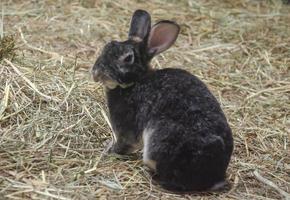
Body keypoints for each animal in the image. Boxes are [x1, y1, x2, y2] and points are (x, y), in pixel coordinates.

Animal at [92, 9, 234, 192]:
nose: (96, 73)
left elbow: (125, 143)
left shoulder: (126, 126)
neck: (138, 80)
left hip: (159, 143)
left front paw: (110, 151)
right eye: (108, 46)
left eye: (128, 58)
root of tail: (214, 178)